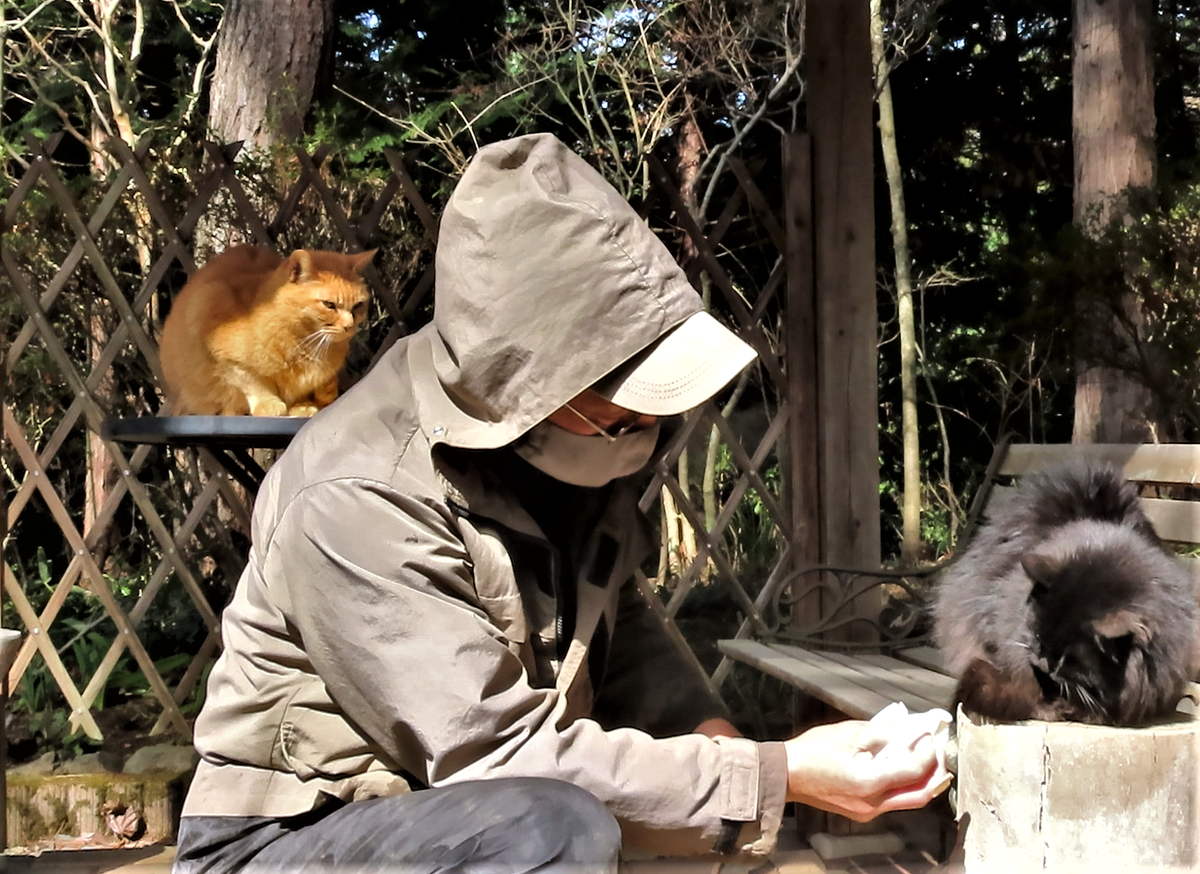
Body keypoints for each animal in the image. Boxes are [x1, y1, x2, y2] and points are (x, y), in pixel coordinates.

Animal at [159, 243, 372, 417]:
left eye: (358, 305)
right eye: (329, 305)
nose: (349, 325)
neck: (306, 342)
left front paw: (303, 405)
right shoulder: (222, 352)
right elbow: (252, 383)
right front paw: (268, 403)